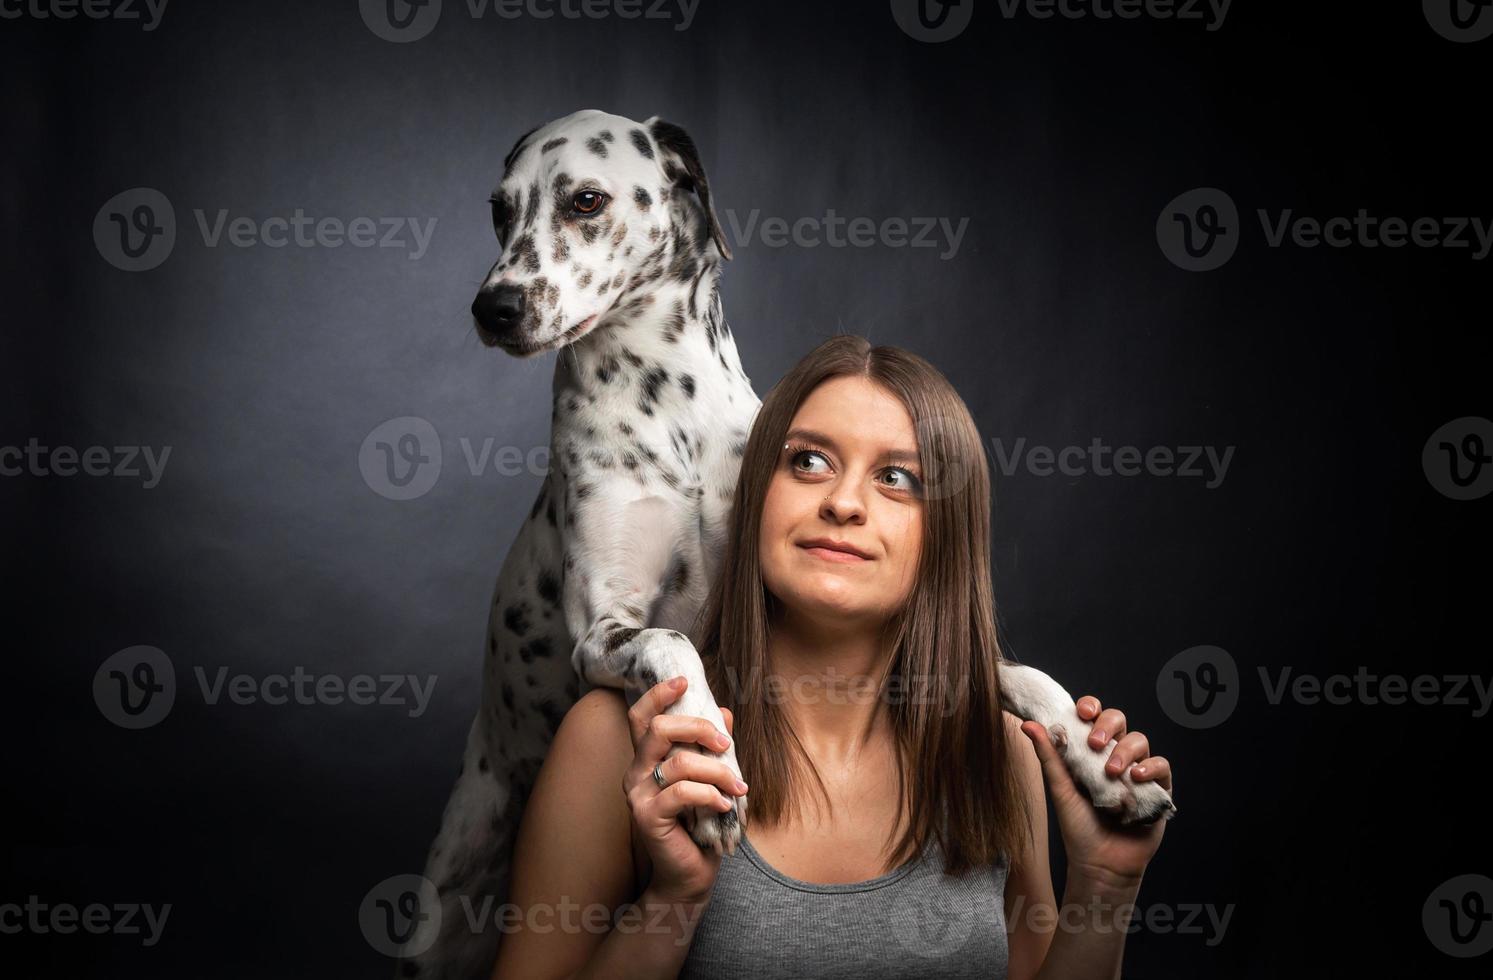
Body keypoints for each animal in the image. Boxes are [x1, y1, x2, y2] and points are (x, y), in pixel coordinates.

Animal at [400, 109, 1176, 980]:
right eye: (499, 210)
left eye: (585, 200)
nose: (491, 307)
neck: (666, 401)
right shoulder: (602, 630)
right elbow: (671, 643)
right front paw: (705, 766)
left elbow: (1016, 674)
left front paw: (1101, 763)